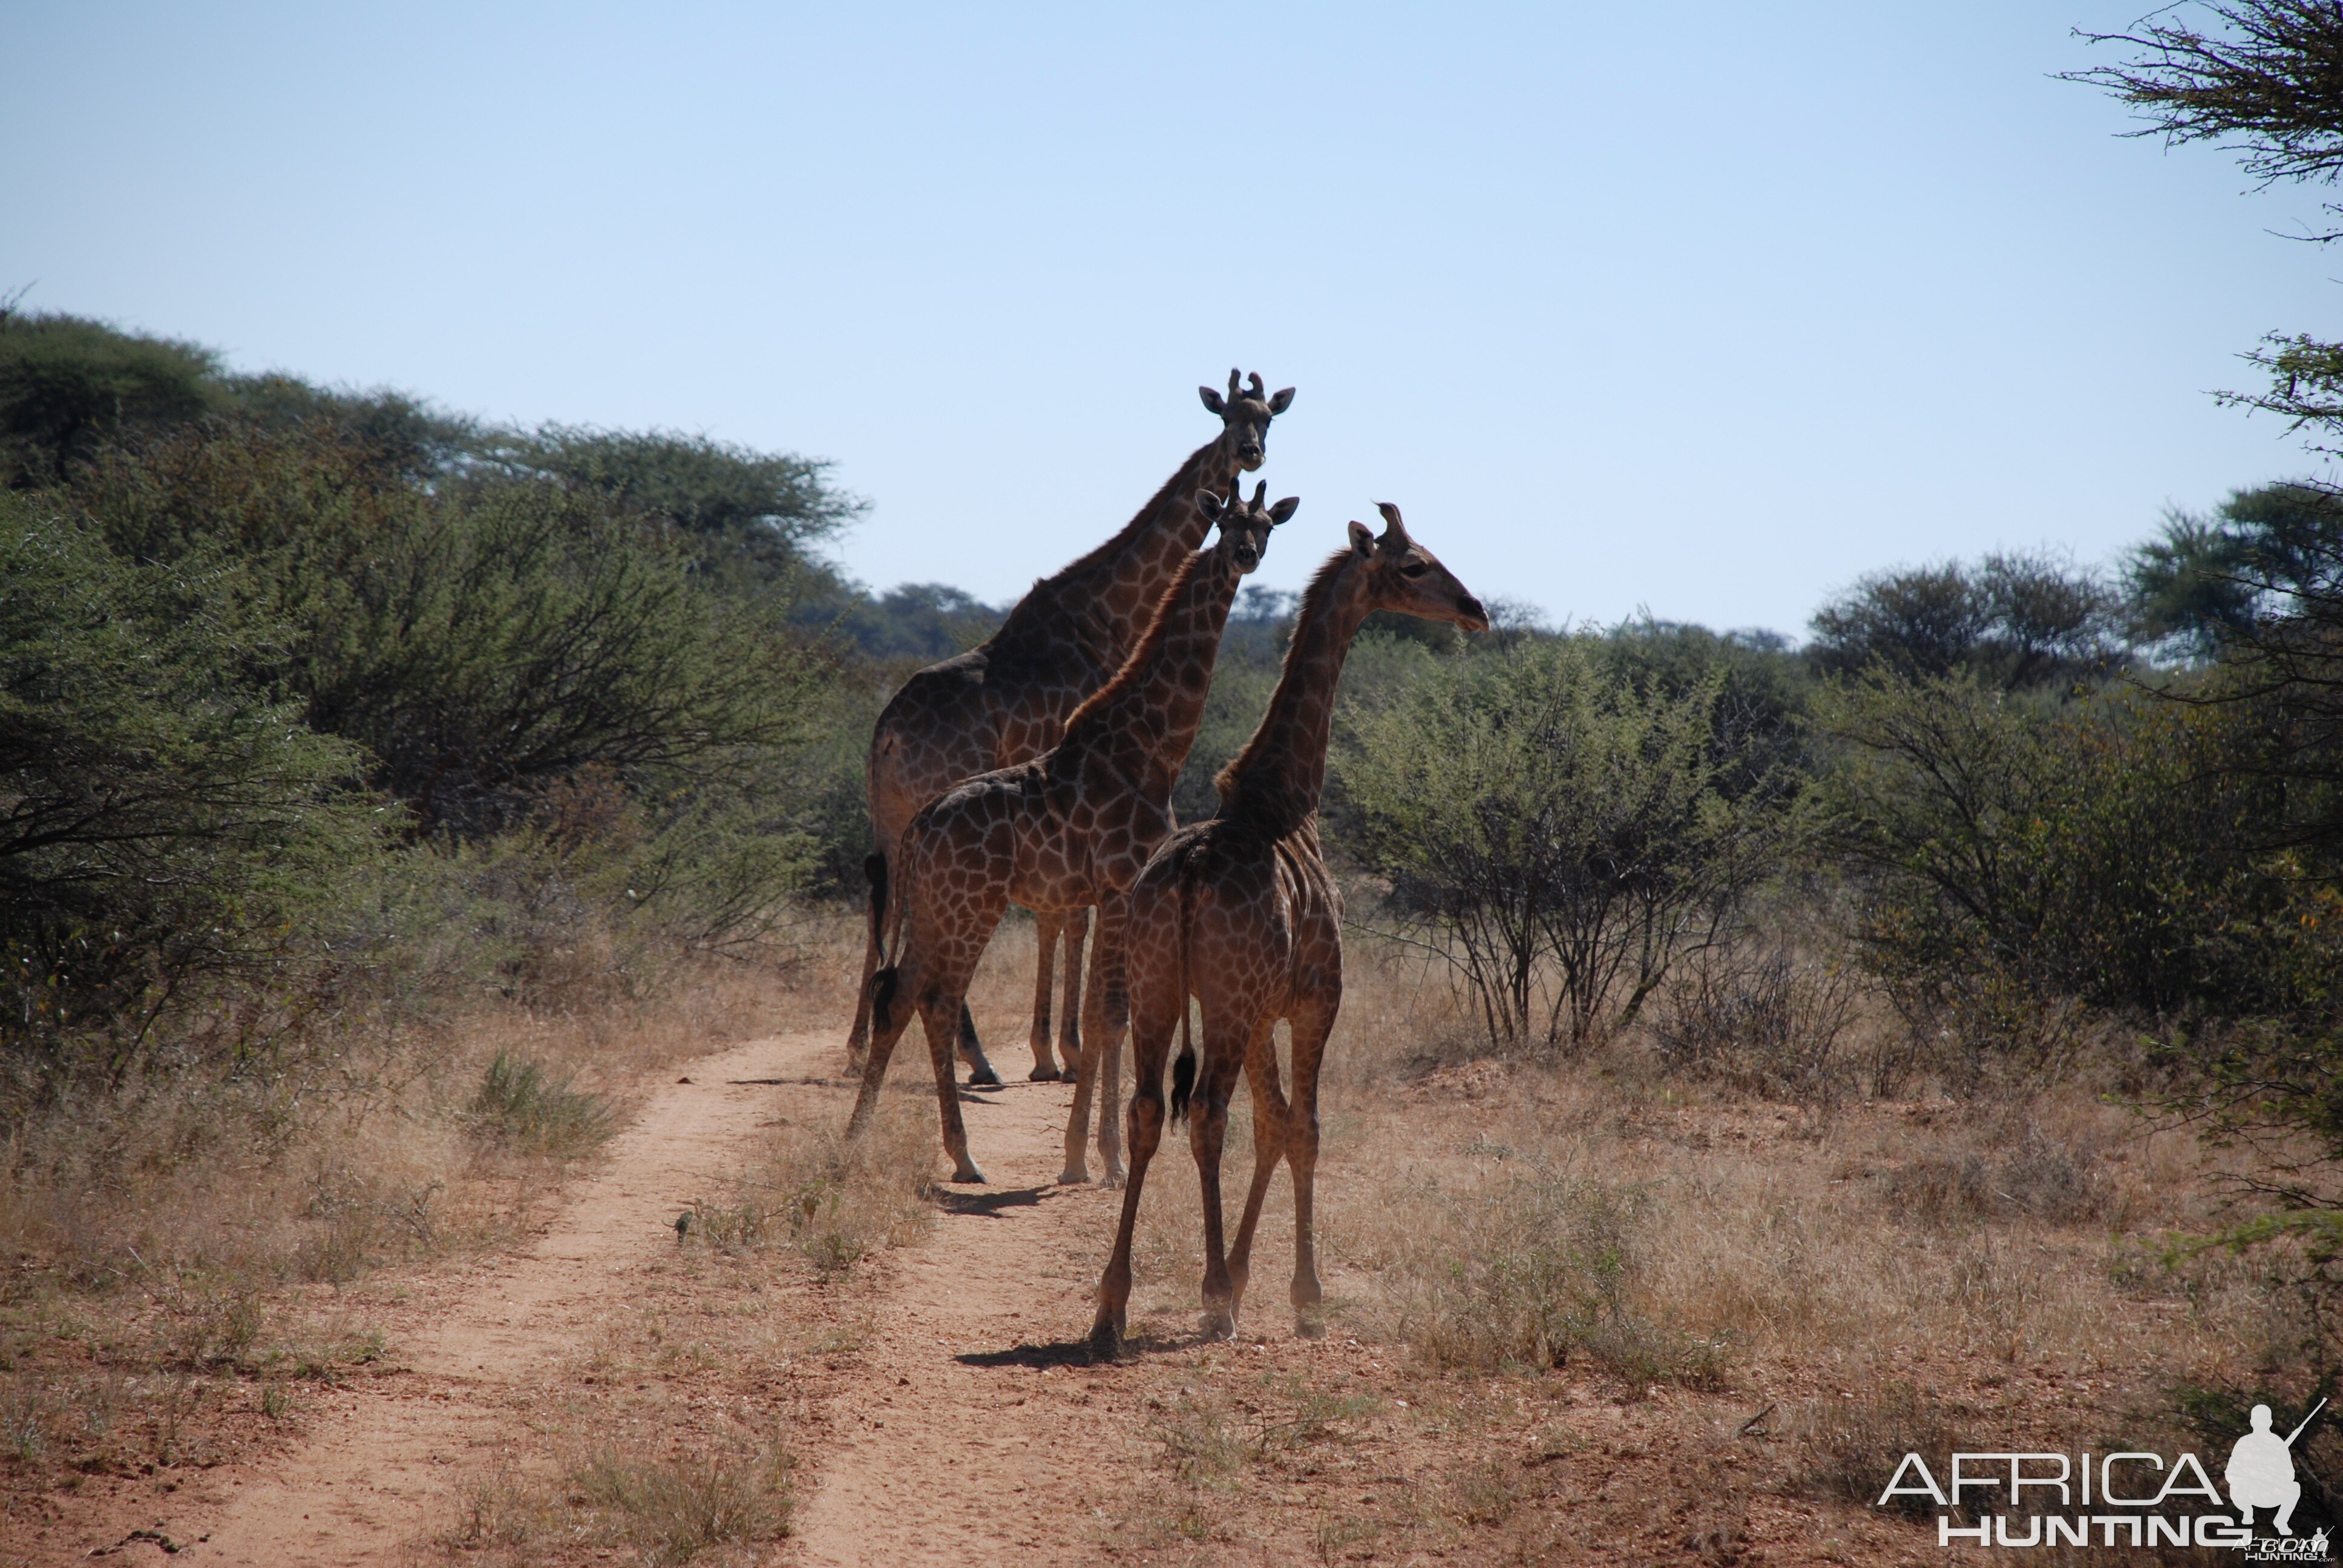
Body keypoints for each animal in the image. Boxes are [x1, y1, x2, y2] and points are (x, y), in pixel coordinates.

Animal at [848, 368, 1293, 1082]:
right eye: (1227, 417)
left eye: (1269, 418)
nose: (1251, 454)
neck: (1109, 614)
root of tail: (884, 732)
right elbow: (1070, 921)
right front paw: (1060, 1050)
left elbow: (1057, 917)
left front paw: (1053, 1049)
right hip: (932, 800)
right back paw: (975, 1056)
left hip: (890, 811)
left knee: (882, 894)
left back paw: (860, 1042)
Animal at [1082, 504, 1481, 1359]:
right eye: (1414, 566)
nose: (1476, 611)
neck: (1284, 801)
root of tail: (1189, 875)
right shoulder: (1313, 1000)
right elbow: (1305, 1128)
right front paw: (1300, 1297)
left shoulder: (1262, 1008)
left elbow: (1273, 1125)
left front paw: (1241, 1279)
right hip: (1227, 1003)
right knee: (1206, 1112)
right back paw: (1207, 1300)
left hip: (1160, 985)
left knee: (1147, 1109)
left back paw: (1110, 1308)